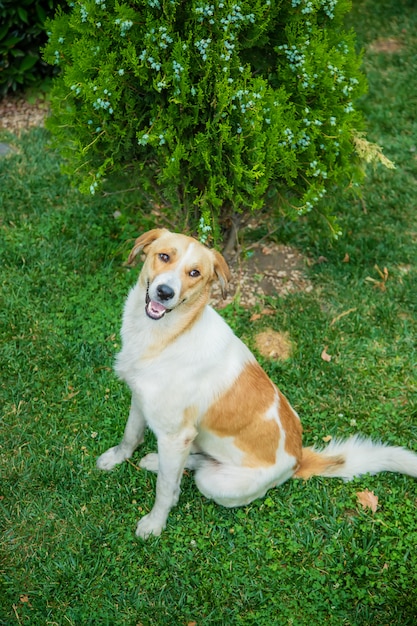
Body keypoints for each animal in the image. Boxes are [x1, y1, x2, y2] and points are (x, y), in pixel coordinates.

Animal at [96, 228, 416, 536]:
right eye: (164, 256)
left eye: (195, 273)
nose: (164, 292)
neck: (168, 336)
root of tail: (298, 457)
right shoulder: (141, 400)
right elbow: (130, 436)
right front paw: (116, 458)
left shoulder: (176, 435)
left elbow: (164, 488)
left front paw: (154, 524)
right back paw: (155, 461)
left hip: (214, 481)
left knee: (196, 470)